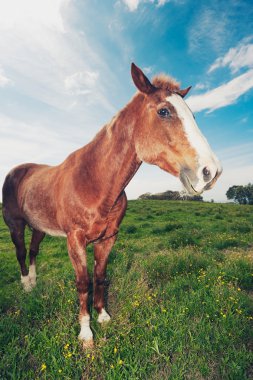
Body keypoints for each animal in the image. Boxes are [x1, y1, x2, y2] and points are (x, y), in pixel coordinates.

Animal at [1, 63, 221, 348]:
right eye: (164, 111)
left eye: (192, 115)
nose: (211, 172)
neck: (94, 180)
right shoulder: (75, 240)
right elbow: (83, 282)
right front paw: (86, 333)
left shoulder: (108, 239)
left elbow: (100, 276)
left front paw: (103, 316)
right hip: (15, 225)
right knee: (20, 252)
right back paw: (27, 286)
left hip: (39, 226)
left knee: (33, 251)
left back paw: (35, 282)